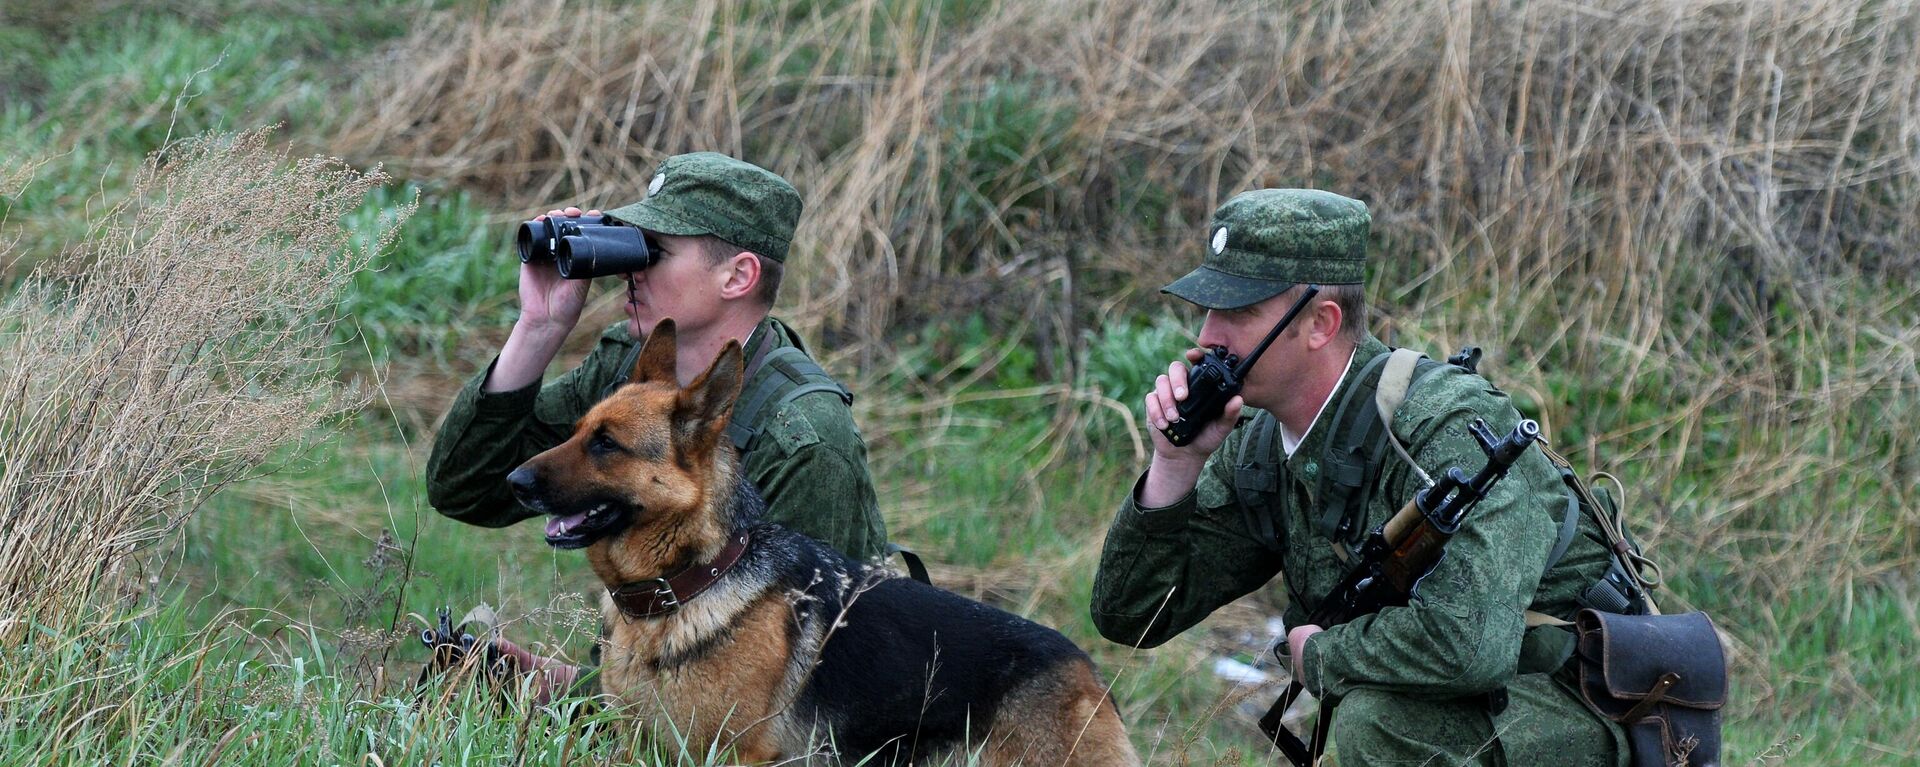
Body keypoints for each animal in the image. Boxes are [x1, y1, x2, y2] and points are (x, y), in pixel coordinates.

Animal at [506, 321, 1136, 765]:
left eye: (607, 444)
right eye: (577, 432)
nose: (514, 481)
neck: (689, 583)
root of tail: (1091, 674)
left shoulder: (735, 755)